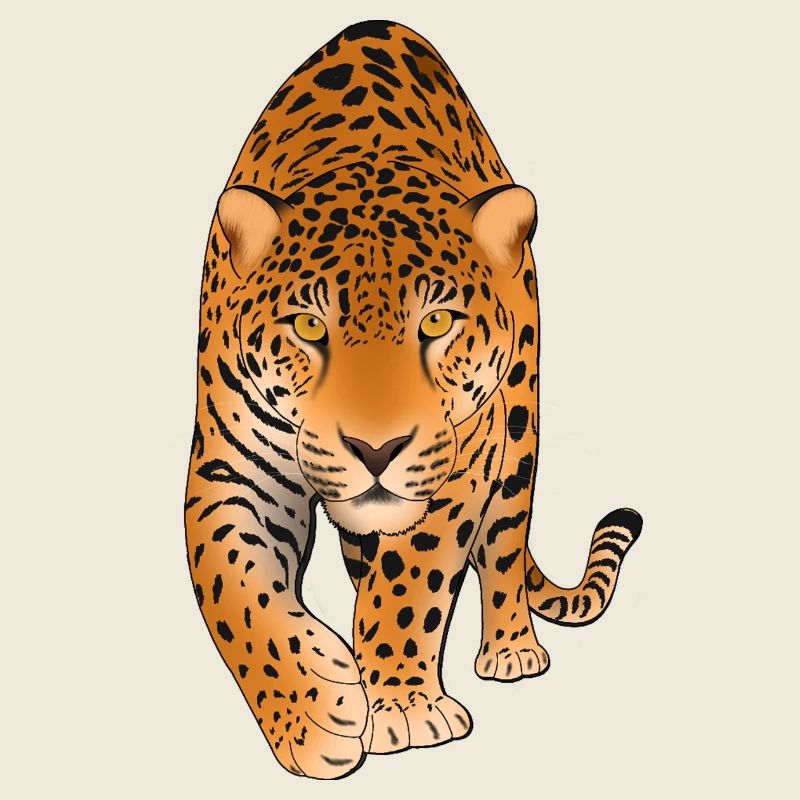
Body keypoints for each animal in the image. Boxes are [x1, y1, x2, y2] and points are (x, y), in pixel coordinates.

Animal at [184, 19, 642, 780]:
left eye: (435, 322)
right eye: (310, 327)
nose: (376, 450)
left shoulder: (458, 465)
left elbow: (410, 582)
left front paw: (399, 705)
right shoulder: (232, 467)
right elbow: (233, 586)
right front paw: (314, 713)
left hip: (518, 430)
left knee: (505, 544)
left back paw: (511, 648)